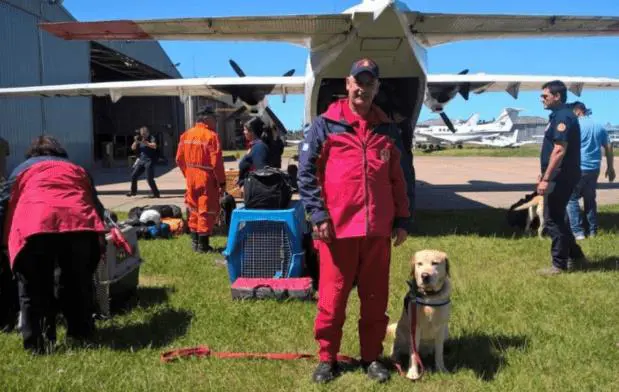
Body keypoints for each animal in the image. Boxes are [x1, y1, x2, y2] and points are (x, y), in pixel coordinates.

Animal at [388, 250, 450, 382]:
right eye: (419, 264)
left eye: (435, 263)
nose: (425, 276)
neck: (429, 296)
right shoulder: (415, 327)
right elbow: (413, 354)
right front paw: (413, 373)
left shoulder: (440, 327)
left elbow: (439, 351)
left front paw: (441, 369)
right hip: (400, 333)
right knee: (397, 349)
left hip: (446, 331)